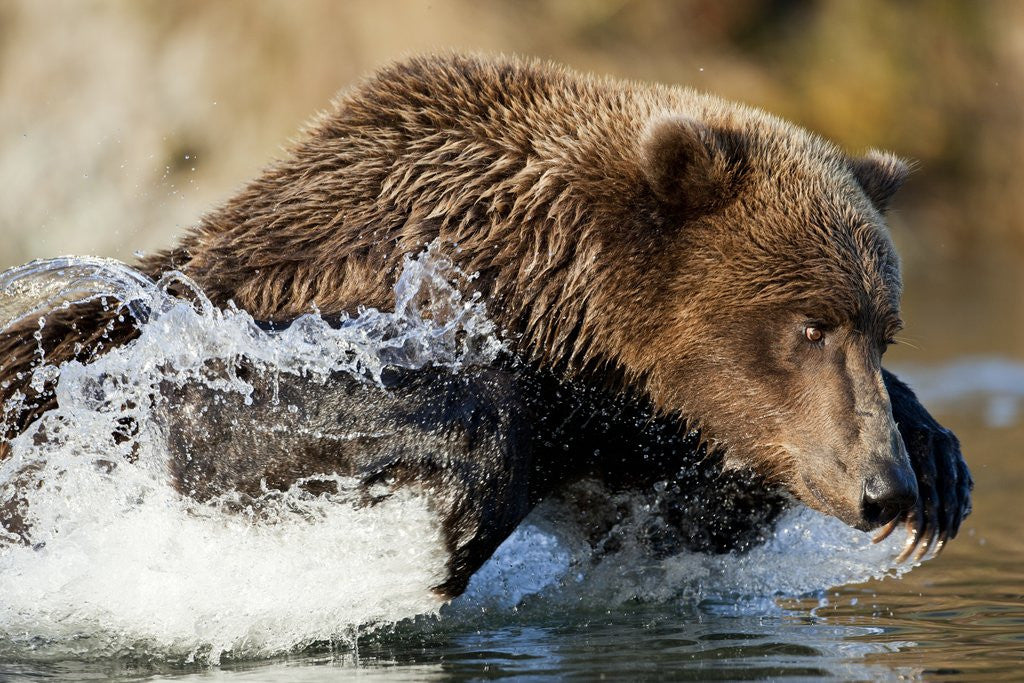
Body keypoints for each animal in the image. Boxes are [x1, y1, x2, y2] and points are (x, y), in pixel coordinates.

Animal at [0, 53, 971, 597]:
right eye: (809, 325)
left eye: (880, 328)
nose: (883, 489)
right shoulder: (326, 294)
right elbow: (232, 412)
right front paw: (436, 537)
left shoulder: (619, 411)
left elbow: (691, 505)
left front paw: (936, 462)